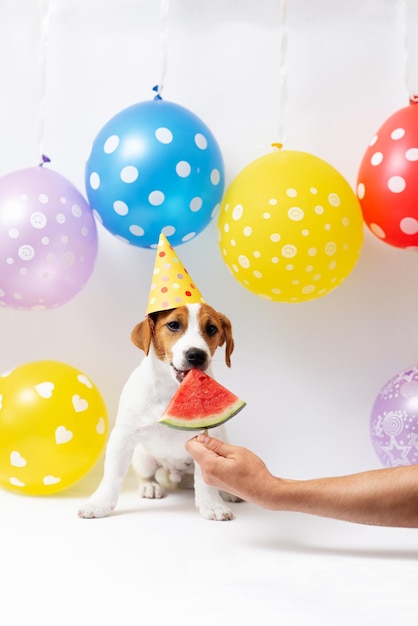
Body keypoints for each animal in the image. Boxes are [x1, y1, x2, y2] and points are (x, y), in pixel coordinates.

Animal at [78, 300, 240, 520]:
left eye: (212, 329)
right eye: (173, 325)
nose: (196, 355)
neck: (170, 389)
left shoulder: (208, 438)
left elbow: (205, 480)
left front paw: (213, 505)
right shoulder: (123, 436)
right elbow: (112, 475)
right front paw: (99, 503)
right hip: (142, 457)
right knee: (146, 475)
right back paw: (150, 487)